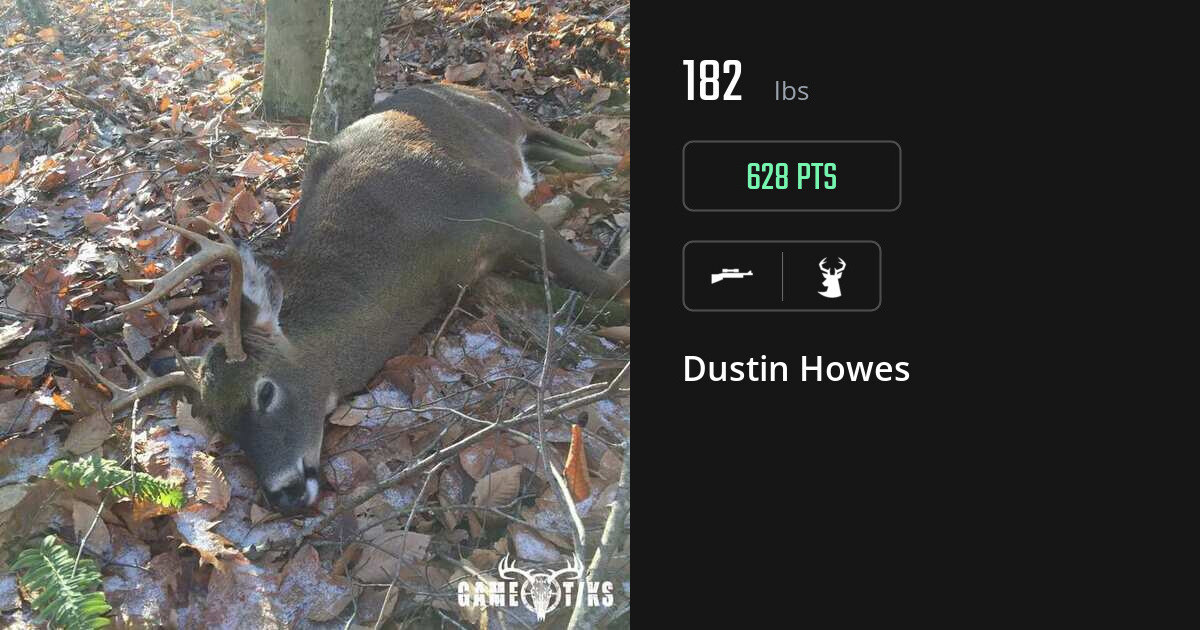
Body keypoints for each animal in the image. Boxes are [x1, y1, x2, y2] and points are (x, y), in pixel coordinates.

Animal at [73, 84, 629, 513]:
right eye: (221, 427)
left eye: (264, 392)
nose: (284, 496)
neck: (405, 268)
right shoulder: (477, 275)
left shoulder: (494, 205)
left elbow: (606, 285)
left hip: (496, 112)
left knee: (544, 132)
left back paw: (608, 160)